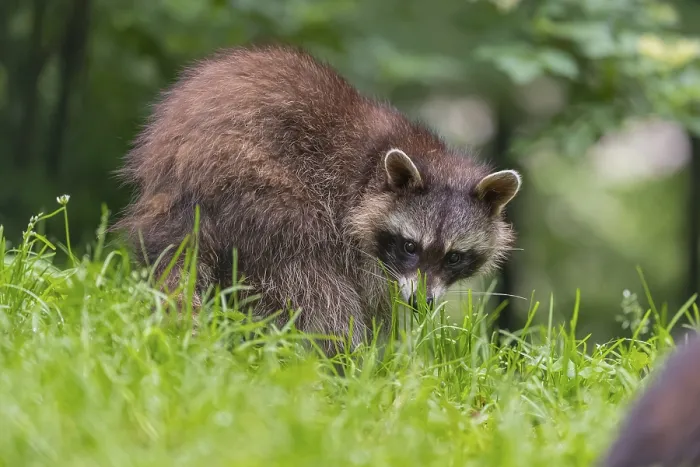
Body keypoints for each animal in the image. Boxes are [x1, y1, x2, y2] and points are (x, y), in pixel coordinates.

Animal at [114, 45, 522, 352]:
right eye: (410, 246)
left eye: (455, 257)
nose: (421, 302)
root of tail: (178, 177)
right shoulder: (351, 223)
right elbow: (359, 293)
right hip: (259, 189)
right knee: (313, 281)